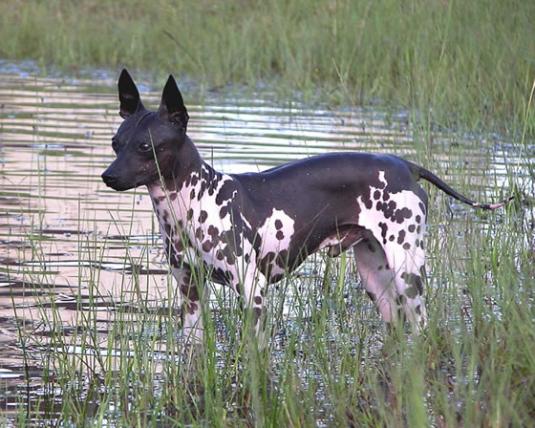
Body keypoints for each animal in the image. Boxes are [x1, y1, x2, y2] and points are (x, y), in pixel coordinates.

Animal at [101, 70, 510, 344]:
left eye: (145, 147)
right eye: (115, 143)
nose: (107, 176)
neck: (193, 203)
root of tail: (405, 165)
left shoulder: (253, 293)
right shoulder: (190, 295)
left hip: (407, 273)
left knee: (424, 327)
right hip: (376, 281)